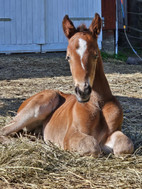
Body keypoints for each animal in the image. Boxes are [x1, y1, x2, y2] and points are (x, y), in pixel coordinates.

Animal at [0, 13, 134, 157]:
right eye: (68, 57)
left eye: (95, 55)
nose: (83, 91)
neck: (98, 104)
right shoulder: (70, 135)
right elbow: (92, 145)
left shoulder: (114, 132)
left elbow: (125, 145)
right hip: (39, 106)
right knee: (4, 130)